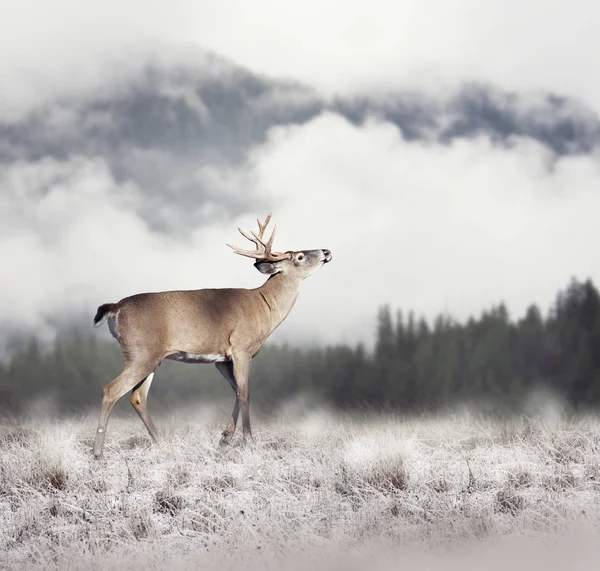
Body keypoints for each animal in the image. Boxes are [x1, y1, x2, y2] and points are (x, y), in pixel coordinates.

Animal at [92, 214, 332, 460]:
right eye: (300, 256)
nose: (326, 250)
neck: (265, 306)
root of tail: (116, 307)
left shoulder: (222, 359)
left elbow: (236, 390)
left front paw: (225, 438)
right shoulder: (241, 347)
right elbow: (245, 392)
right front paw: (248, 442)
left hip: (150, 357)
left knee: (137, 397)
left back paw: (166, 448)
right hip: (141, 352)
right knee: (110, 390)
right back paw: (98, 452)